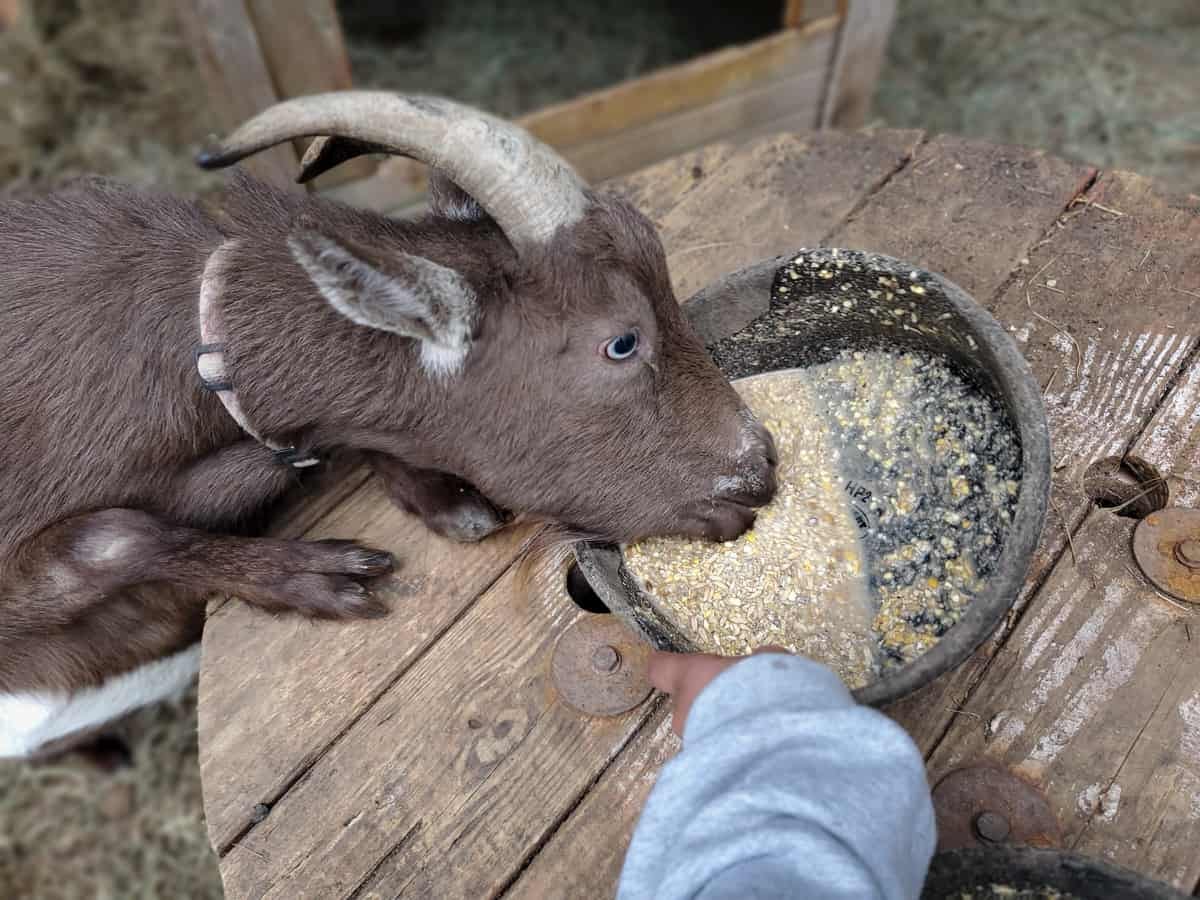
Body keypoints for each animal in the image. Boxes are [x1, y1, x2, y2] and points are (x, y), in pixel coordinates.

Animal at [0, 92, 777, 759]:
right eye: (621, 342)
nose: (760, 469)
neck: (200, 355)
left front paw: (445, 499)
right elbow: (111, 539)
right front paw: (319, 576)